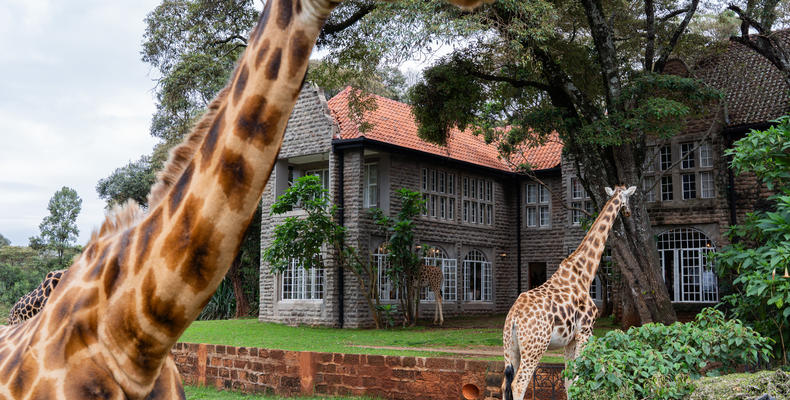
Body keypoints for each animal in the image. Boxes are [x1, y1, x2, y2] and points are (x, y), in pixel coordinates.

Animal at [501, 185, 637, 400]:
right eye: (628, 198)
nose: (628, 212)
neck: (584, 273)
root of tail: (513, 317)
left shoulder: (570, 339)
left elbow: (569, 380)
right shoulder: (585, 331)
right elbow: (579, 376)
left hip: (510, 347)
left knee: (504, 384)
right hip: (535, 347)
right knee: (519, 384)